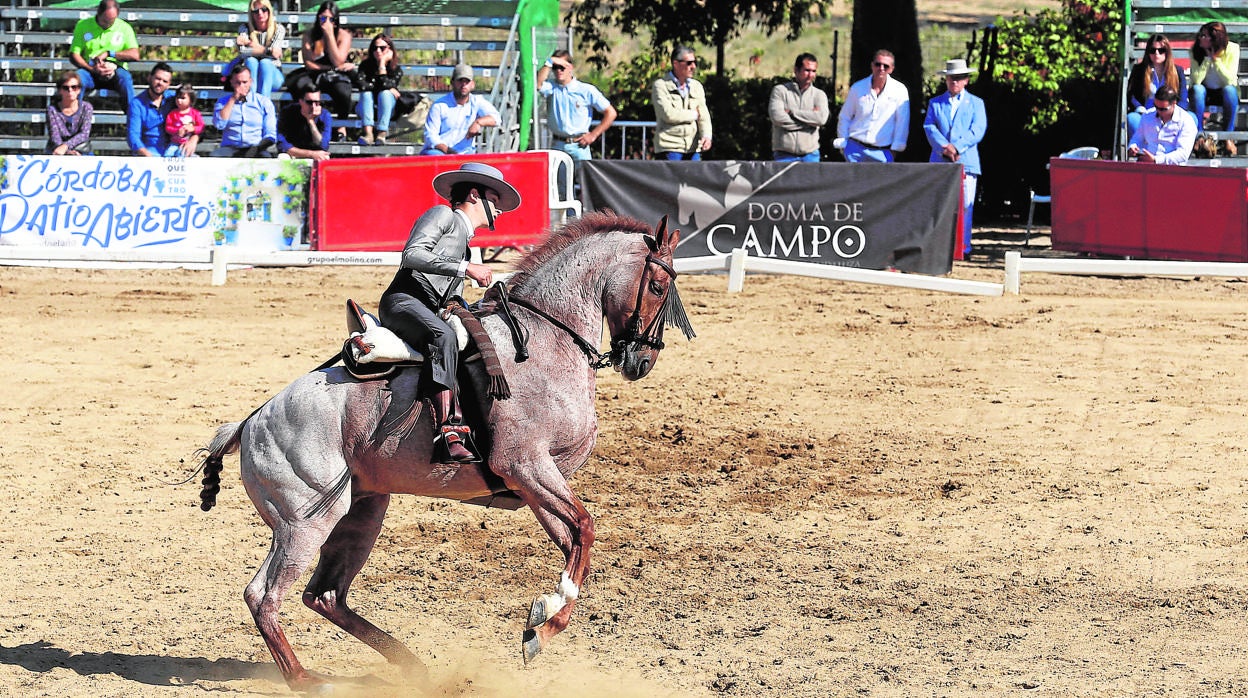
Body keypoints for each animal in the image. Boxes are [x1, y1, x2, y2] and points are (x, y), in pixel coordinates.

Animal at [194, 209, 693, 689]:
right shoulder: (526, 466)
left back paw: (410, 665)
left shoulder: (537, 482)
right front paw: (547, 613)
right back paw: (307, 680)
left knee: (326, 595)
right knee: (264, 596)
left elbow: (574, 539)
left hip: (361, 513)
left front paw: (540, 626)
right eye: (657, 285)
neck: (546, 341)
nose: (642, 361)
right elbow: (585, 529)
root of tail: (252, 422)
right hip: (303, 524)